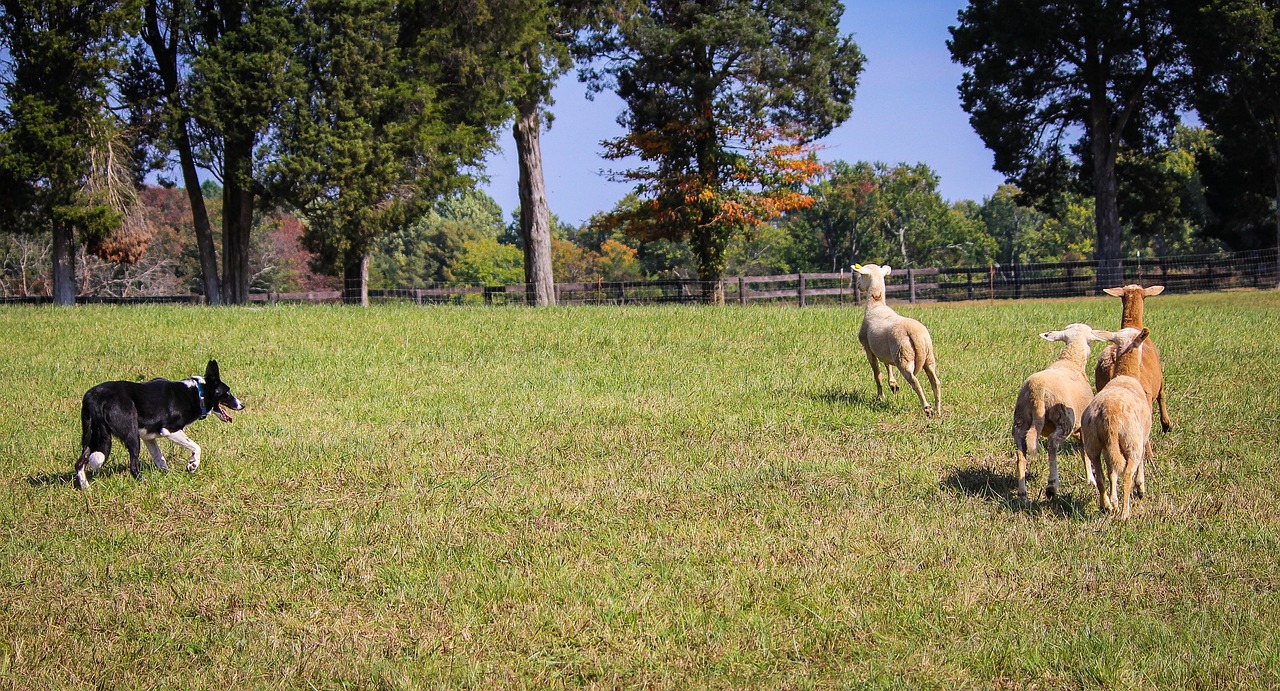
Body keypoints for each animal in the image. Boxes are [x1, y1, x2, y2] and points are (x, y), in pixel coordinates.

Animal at [74, 358, 241, 488]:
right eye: (227, 392)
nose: (242, 405)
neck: (198, 393)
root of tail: (95, 398)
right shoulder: (170, 430)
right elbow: (196, 447)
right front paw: (192, 465)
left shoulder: (149, 437)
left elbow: (159, 459)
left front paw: (168, 476)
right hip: (131, 436)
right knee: (133, 466)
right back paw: (143, 482)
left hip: (92, 436)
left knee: (79, 462)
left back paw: (85, 487)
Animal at [849, 263, 942, 414]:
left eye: (861, 275)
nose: (857, 285)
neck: (876, 304)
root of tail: (915, 333)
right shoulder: (884, 350)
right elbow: (887, 365)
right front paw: (893, 385)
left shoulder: (868, 348)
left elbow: (877, 374)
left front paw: (881, 397)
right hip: (928, 357)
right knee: (936, 382)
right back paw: (938, 410)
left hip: (903, 356)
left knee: (914, 381)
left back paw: (927, 408)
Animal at [1080, 327, 1152, 516]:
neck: (1126, 375)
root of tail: (1108, 413)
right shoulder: (1142, 438)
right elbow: (1140, 463)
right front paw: (1140, 487)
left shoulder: (1108, 448)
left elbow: (1112, 472)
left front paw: (1113, 501)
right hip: (1131, 442)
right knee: (1127, 476)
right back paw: (1125, 514)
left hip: (1094, 443)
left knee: (1100, 476)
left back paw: (1106, 505)